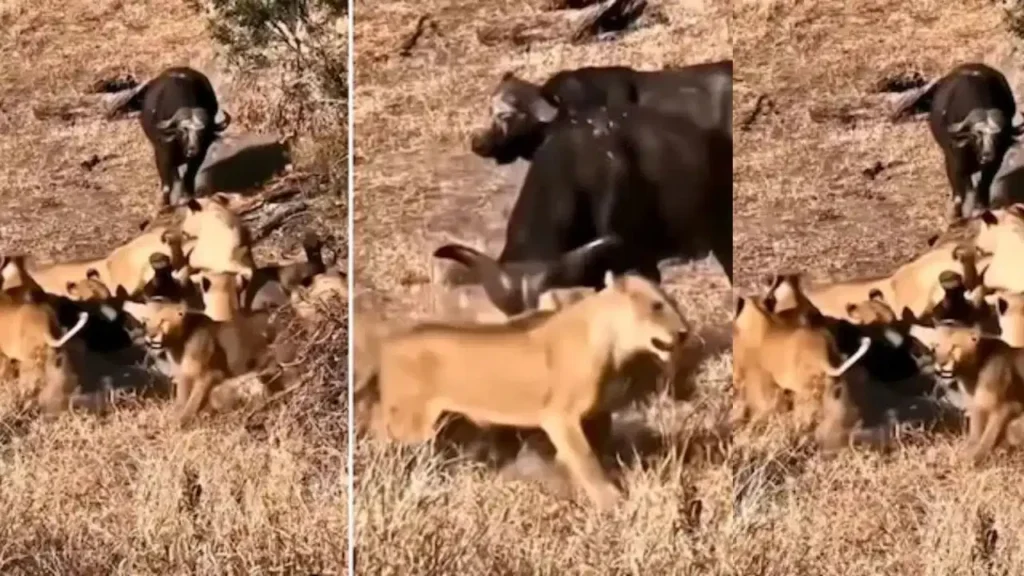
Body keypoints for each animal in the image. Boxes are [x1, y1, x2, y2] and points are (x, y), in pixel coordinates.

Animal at [373, 272, 689, 510]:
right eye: (657, 305)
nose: (685, 333)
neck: (611, 343)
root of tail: (388, 340)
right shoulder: (560, 418)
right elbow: (587, 460)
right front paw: (611, 501)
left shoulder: (590, 418)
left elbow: (580, 457)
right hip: (409, 421)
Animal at [908, 321, 1024, 463]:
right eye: (936, 346)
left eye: (954, 347)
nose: (941, 363)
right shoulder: (977, 405)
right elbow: (976, 432)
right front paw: (968, 453)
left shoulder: (1005, 406)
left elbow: (987, 437)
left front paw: (974, 459)